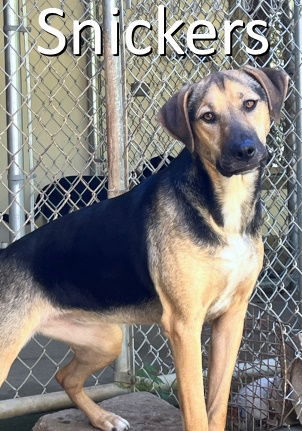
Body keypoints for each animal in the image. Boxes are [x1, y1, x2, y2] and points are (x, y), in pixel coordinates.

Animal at [0, 66, 290, 430]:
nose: (245, 150)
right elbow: (197, 411)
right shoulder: (184, 325)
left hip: (106, 339)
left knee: (66, 376)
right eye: (207, 117)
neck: (222, 209)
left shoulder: (231, 318)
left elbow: (217, 407)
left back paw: (104, 418)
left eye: (250, 104)